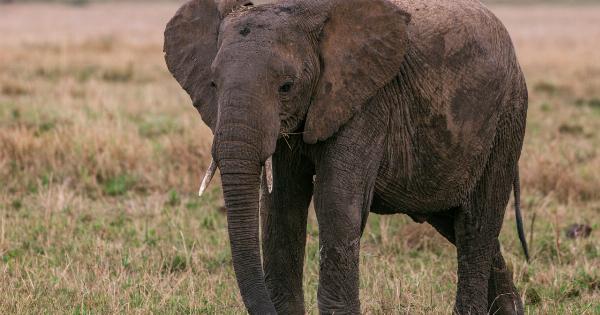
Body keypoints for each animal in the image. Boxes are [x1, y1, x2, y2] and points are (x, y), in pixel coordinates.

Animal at [163, 0, 528, 314]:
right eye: (213, 84)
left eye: (286, 86)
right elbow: (282, 206)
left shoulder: (367, 100)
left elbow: (337, 203)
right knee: (456, 222)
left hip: (506, 120)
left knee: (475, 225)